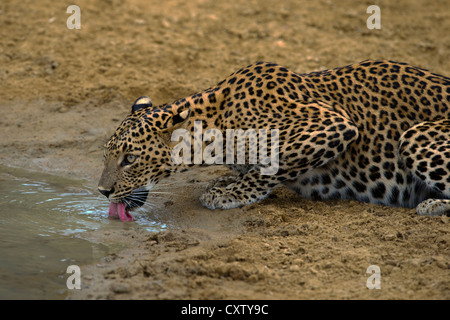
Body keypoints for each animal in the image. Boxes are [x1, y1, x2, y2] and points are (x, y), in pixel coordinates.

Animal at [97, 59, 450, 220]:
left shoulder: (330, 123)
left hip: (415, 137)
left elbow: (271, 164)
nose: (102, 191)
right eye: (106, 156)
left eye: (130, 159)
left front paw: (228, 194)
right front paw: (224, 182)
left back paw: (431, 204)